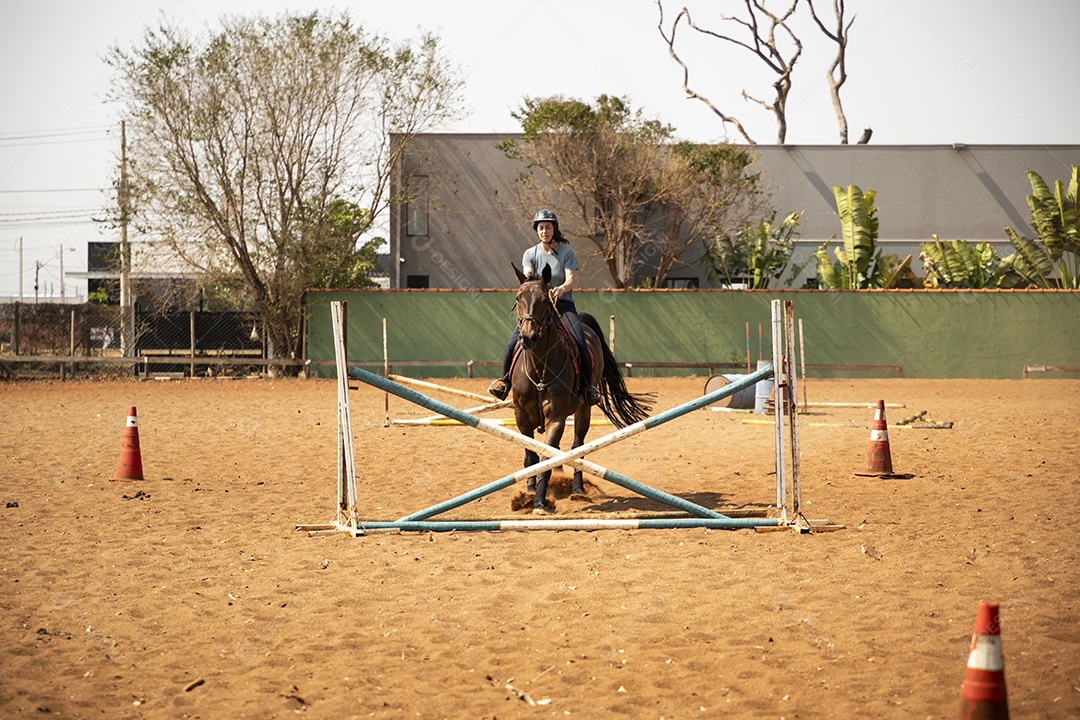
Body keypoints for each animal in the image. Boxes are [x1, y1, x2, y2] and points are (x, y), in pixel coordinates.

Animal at [507, 264, 648, 511]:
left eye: (545, 300)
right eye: (518, 298)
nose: (528, 337)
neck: (539, 368)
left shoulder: (556, 418)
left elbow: (547, 457)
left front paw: (540, 502)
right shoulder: (521, 415)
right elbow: (531, 456)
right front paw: (529, 493)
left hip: (584, 409)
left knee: (577, 447)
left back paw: (578, 490)